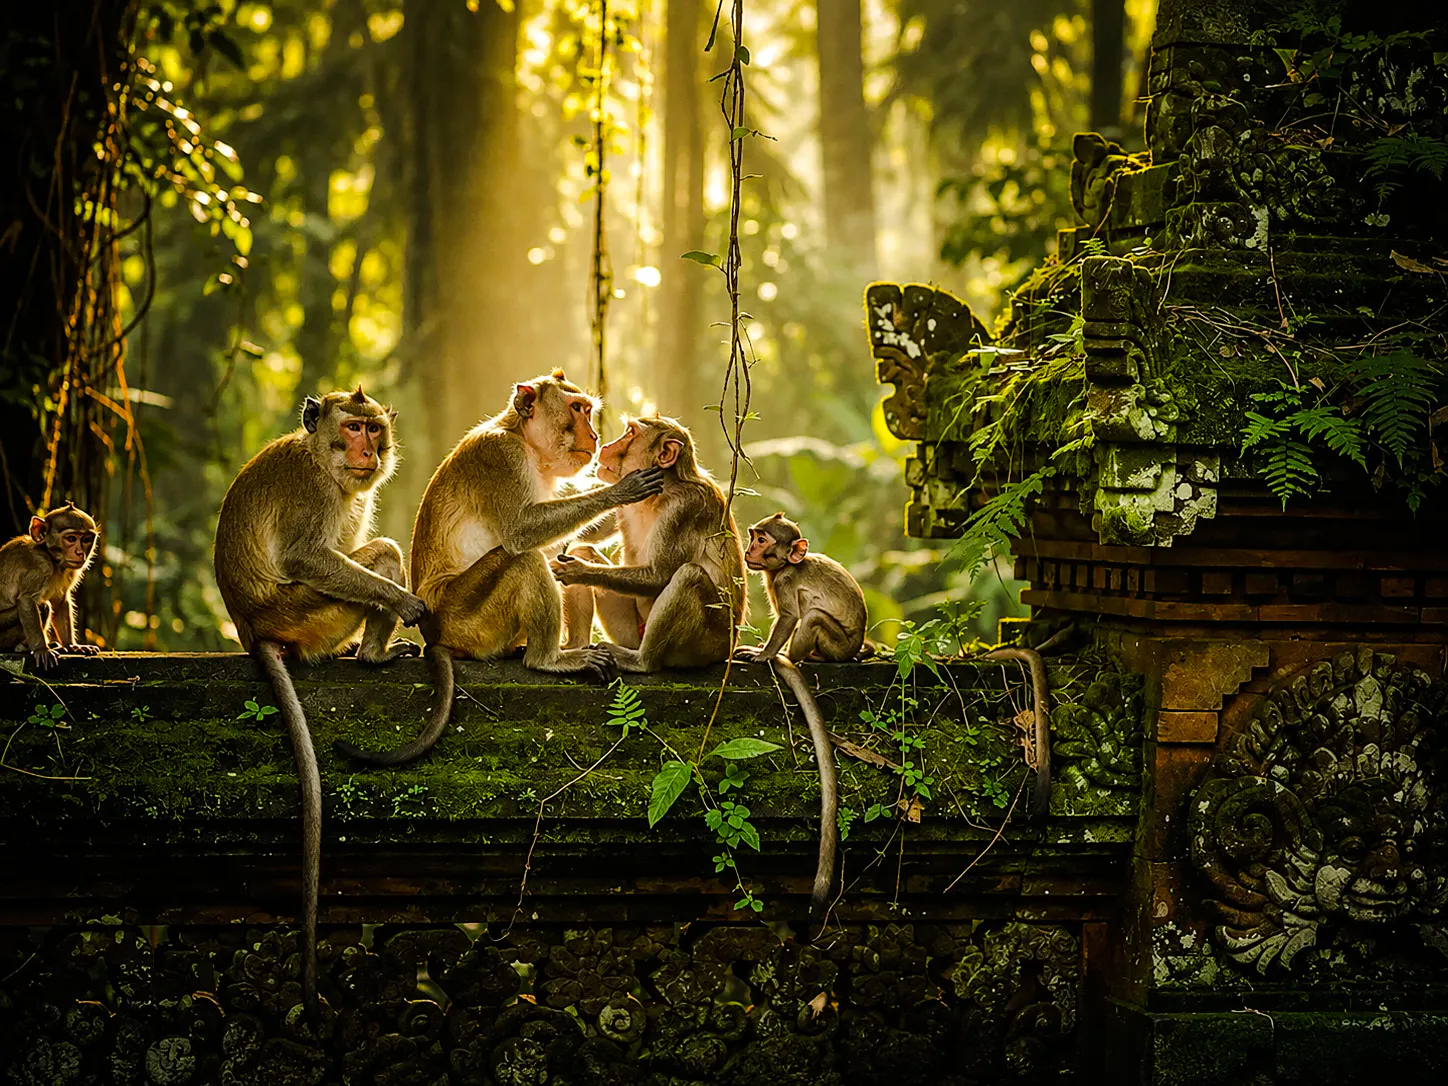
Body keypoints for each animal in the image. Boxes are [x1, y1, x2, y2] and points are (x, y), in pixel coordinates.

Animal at [0, 503, 101, 670]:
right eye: (71, 538)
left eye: (86, 539)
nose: (80, 552)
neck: (51, 558)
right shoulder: (41, 566)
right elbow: (26, 599)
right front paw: (41, 649)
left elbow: (60, 601)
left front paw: (72, 645)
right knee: (43, 606)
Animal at [214, 386, 425, 1021]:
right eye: (351, 426)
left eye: (373, 428)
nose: (366, 449)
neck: (322, 461)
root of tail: (253, 629)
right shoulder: (314, 496)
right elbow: (309, 556)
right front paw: (402, 600)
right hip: (309, 615)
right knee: (376, 555)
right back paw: (376, 651)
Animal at [335, 370, 666, 768]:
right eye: (577, 409)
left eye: (587, 411)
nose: (594, 434)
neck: (523, 442)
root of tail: (437, 634)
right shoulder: (500, 456)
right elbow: (521, 533)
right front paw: (620, 491)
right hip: (468, 619)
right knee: (525, 560)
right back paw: (547, 660)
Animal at [734, 512, 870, 664]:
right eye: (753, 538)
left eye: (761, 540)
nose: (748, 551)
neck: (786, 565)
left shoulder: (784, 579)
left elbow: (789, 616)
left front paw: (764, 654)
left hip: (841, 648)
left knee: (814, 617)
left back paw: (791, 656)